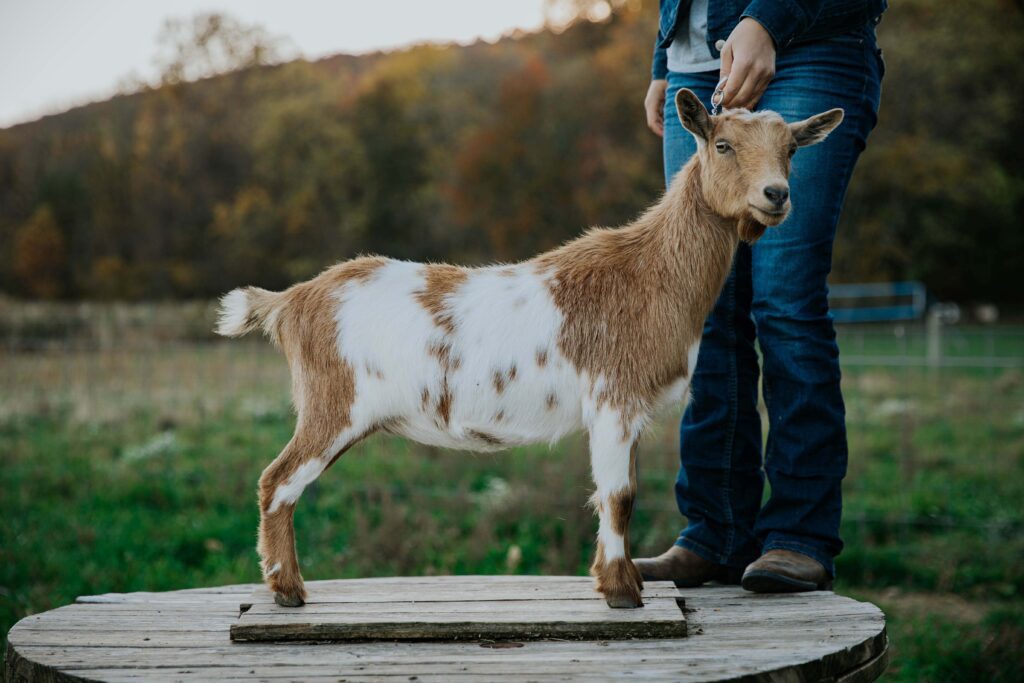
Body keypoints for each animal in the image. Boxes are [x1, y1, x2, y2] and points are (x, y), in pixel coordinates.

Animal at [215, 89, 843, 609]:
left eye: (791, 149)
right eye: (723, 144)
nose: (777, 195)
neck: (650, 274)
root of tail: (292, 300)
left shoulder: (627, 412)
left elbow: (621, 493)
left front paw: (623, 582)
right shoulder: (612, 400)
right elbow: (618, 496)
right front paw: (622, 594)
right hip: (335, 402)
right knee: (277, 481)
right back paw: (288, 590)